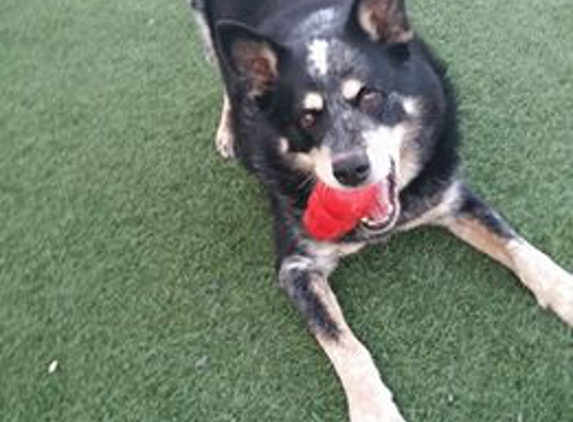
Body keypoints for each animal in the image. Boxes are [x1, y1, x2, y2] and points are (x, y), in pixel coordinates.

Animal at [189, 1, 572, 420]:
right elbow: (344, 344)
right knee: (229, 83)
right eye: (307, 118)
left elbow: (521, 249)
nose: (350, 169)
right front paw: (373, 408)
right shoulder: (296, 266)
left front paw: (565, 293)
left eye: (369, 96)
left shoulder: (450, 196)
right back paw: (229, 131)